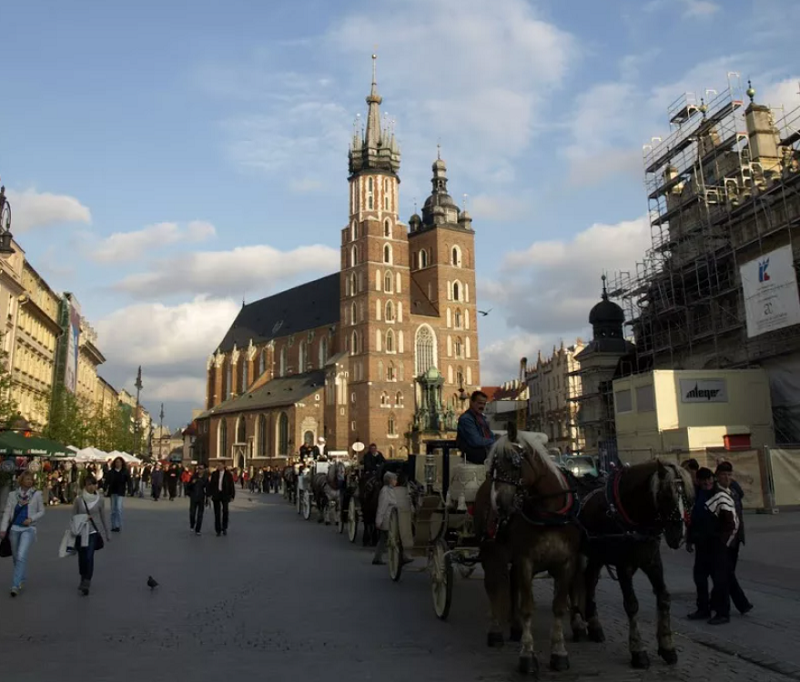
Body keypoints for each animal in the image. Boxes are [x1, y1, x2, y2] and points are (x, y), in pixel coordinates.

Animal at [472, 424, 584, 676]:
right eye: (492, 467)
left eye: (514, 462)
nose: (499, 505)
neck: (550, 513)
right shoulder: (525, 560)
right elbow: (527, 608)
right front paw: (527, 655)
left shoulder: (567, 562)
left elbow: (559, 607)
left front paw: (559, 652)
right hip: (491, 550)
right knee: (493, 586)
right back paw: (496, 631)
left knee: (511, 585)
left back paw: (514, 628)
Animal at [576, 460, 692, 668]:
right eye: (665, 495)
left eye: (686, 496)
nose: (679, 535)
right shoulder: (623, 565)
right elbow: (631, 604)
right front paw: (638, 651)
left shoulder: (653, 562)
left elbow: (664, 597)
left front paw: (667, 647)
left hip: (597, 556)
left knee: (589, 582)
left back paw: (594, 625)